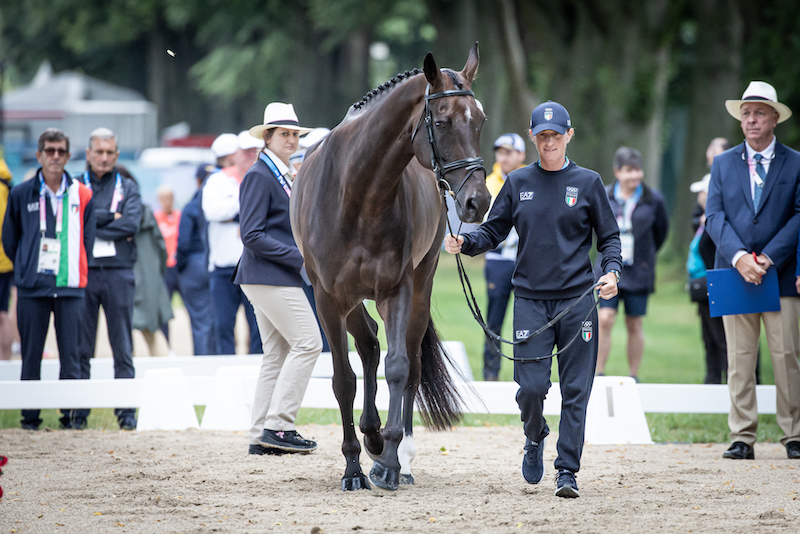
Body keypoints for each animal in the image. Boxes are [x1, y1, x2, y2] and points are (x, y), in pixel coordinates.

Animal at [288, 43, 488, 494]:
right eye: (443, 121)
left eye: (480, 121)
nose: (478, 201)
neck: (359, 193)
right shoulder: (328, 299)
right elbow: (343, 380)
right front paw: (353, 467)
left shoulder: (397, 291)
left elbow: (399, 369)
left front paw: (390, 462)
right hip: (350, 301)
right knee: (368, 345)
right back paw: (371, 435)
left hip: (420, 286)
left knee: (409, 362)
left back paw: (395, 452)